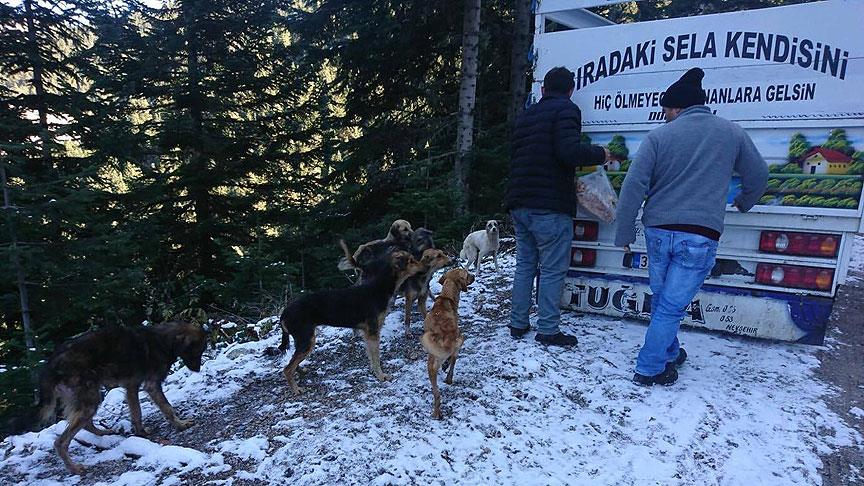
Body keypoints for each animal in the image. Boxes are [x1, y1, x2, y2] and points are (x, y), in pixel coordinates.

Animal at [36, 321, 208, 475]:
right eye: (196, 352)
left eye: (201, 351)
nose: (198, 369)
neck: (164, 341)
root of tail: (51, 364)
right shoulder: (152, 386)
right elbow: (167, 408)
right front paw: (181, 424)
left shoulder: (132, 387)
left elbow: (137, 413)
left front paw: (141, 433)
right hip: (90, 400)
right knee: (60, 442)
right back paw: (74, 468)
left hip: (90, 399)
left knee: (85, 424)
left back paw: (103, 433)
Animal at [274, 248, 424, 395]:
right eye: (411, 260)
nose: (424, 266)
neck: (379, 288)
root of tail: (284, 313)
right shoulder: (372, 333)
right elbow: (376, 357)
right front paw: (381, 376)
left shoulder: (368, 334)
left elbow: (371, 356)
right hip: (307, 340)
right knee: (287, 369)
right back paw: (296, 389)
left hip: (303, 340)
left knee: (293, 361)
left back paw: (300, 371)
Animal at [421, 268, 474, 419]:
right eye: (467, 274)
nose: (474, 275)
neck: (446, 297)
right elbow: (451, 361)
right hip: (459, 340)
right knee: (453, 363)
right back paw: (449, 378)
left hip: (430, 367)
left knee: (437, 394)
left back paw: (436, 413)